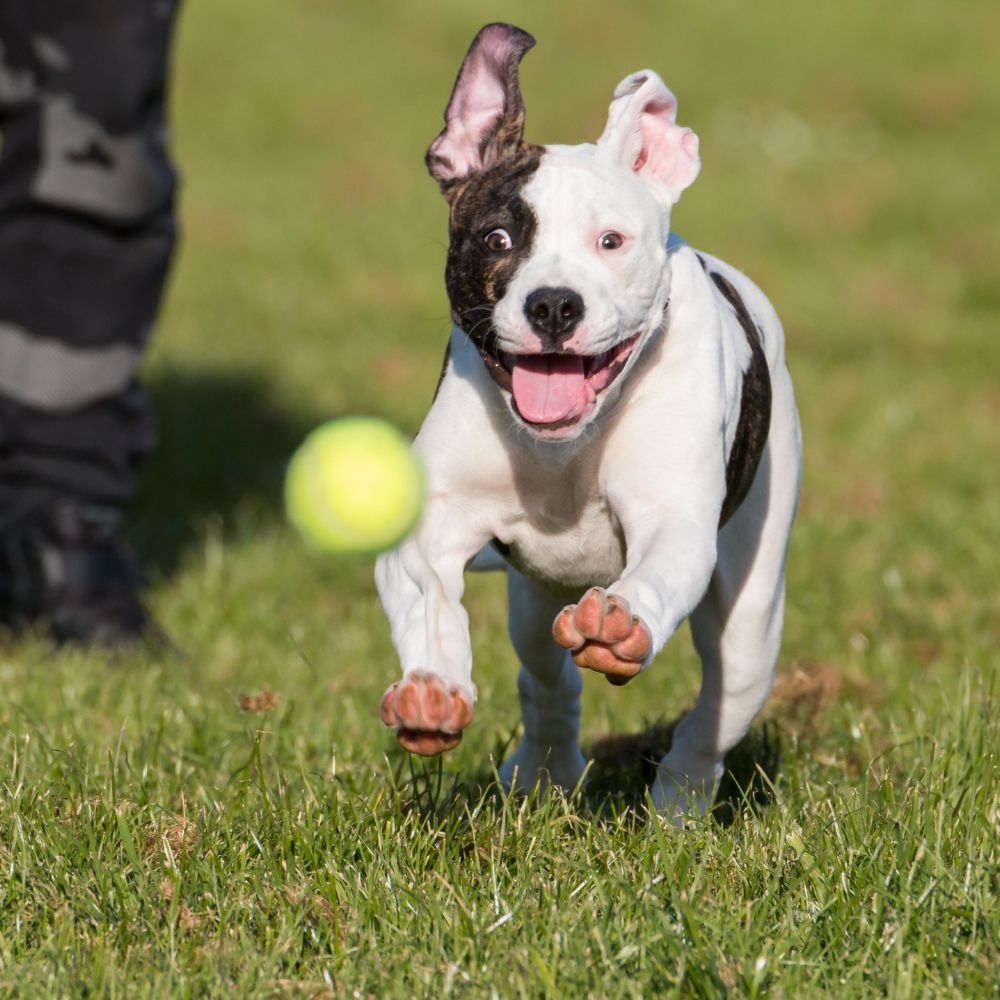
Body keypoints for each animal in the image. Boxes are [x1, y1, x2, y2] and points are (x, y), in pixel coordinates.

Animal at [376, 23, 804, 820]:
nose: (552, 304)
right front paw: (433, 688)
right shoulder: (431, 526)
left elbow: (658, 568)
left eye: (611, 241)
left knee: (718, 706)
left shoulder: (675, 520)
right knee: (547, 679)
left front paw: (619, 620)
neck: (562, 450)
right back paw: (543, 769)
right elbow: (428, 594)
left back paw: (678, 803)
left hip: (753, 615)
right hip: (532, 601)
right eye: (497, 240)